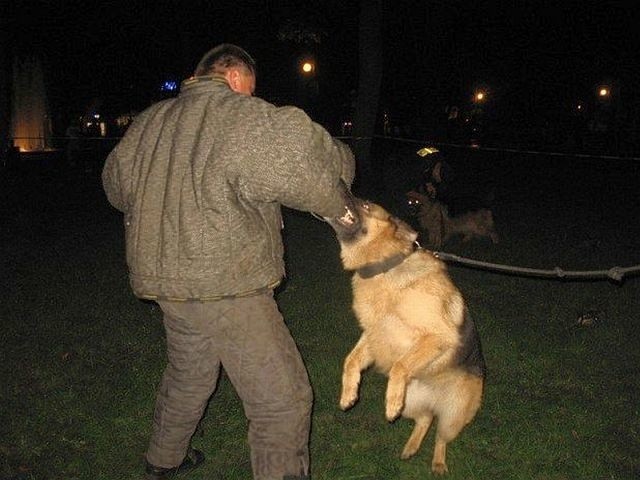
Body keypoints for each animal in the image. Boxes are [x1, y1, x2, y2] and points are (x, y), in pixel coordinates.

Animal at [328, 201, 488, 474]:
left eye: (366, 205)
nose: (342, 196)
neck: (385, 266)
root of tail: (434, 398)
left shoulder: (435, 337)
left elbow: (400, 366)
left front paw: (390, 399)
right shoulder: (375, 333)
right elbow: (351, 360)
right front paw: (349, 393)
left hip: (452, 418)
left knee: (440, 435)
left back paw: (438, 462)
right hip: (412, 405)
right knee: (425, 419)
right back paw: (411, 447)